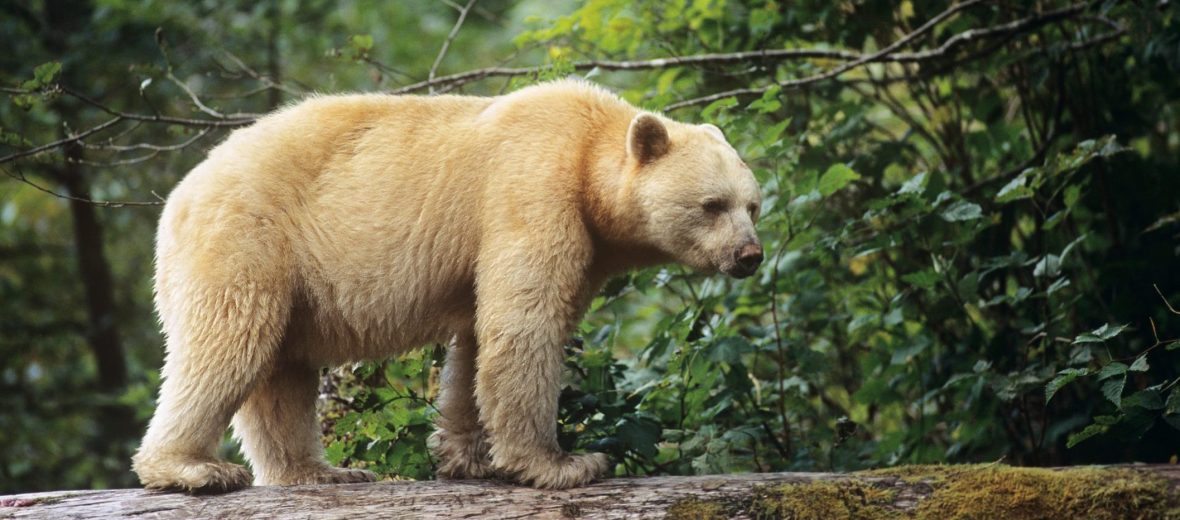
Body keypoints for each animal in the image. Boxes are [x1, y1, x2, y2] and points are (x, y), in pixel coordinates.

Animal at [131, 77, 764, 490]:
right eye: (712, 205)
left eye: (753, 205)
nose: (750, 255)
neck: (587, 150)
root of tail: (178, 197)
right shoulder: (533, 190)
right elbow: (526, 325)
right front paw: (565, 463)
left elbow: (479, 341)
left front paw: (468, 456)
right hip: (249, 239)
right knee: (228, 343)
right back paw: (192, 468)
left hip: (288, 278)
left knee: (281, 371)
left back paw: (323, 470)